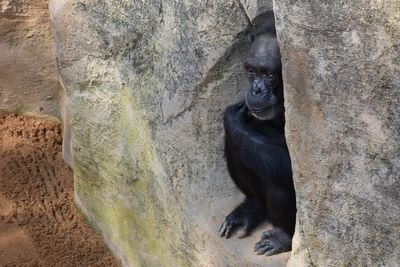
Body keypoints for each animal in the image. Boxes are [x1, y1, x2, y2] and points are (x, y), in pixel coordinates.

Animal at [220, 13, 296, 256]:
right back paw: (250, 209)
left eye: (269, 74)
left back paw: (283, 237)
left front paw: (234, 119)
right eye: (251, 70)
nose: (256, 89)